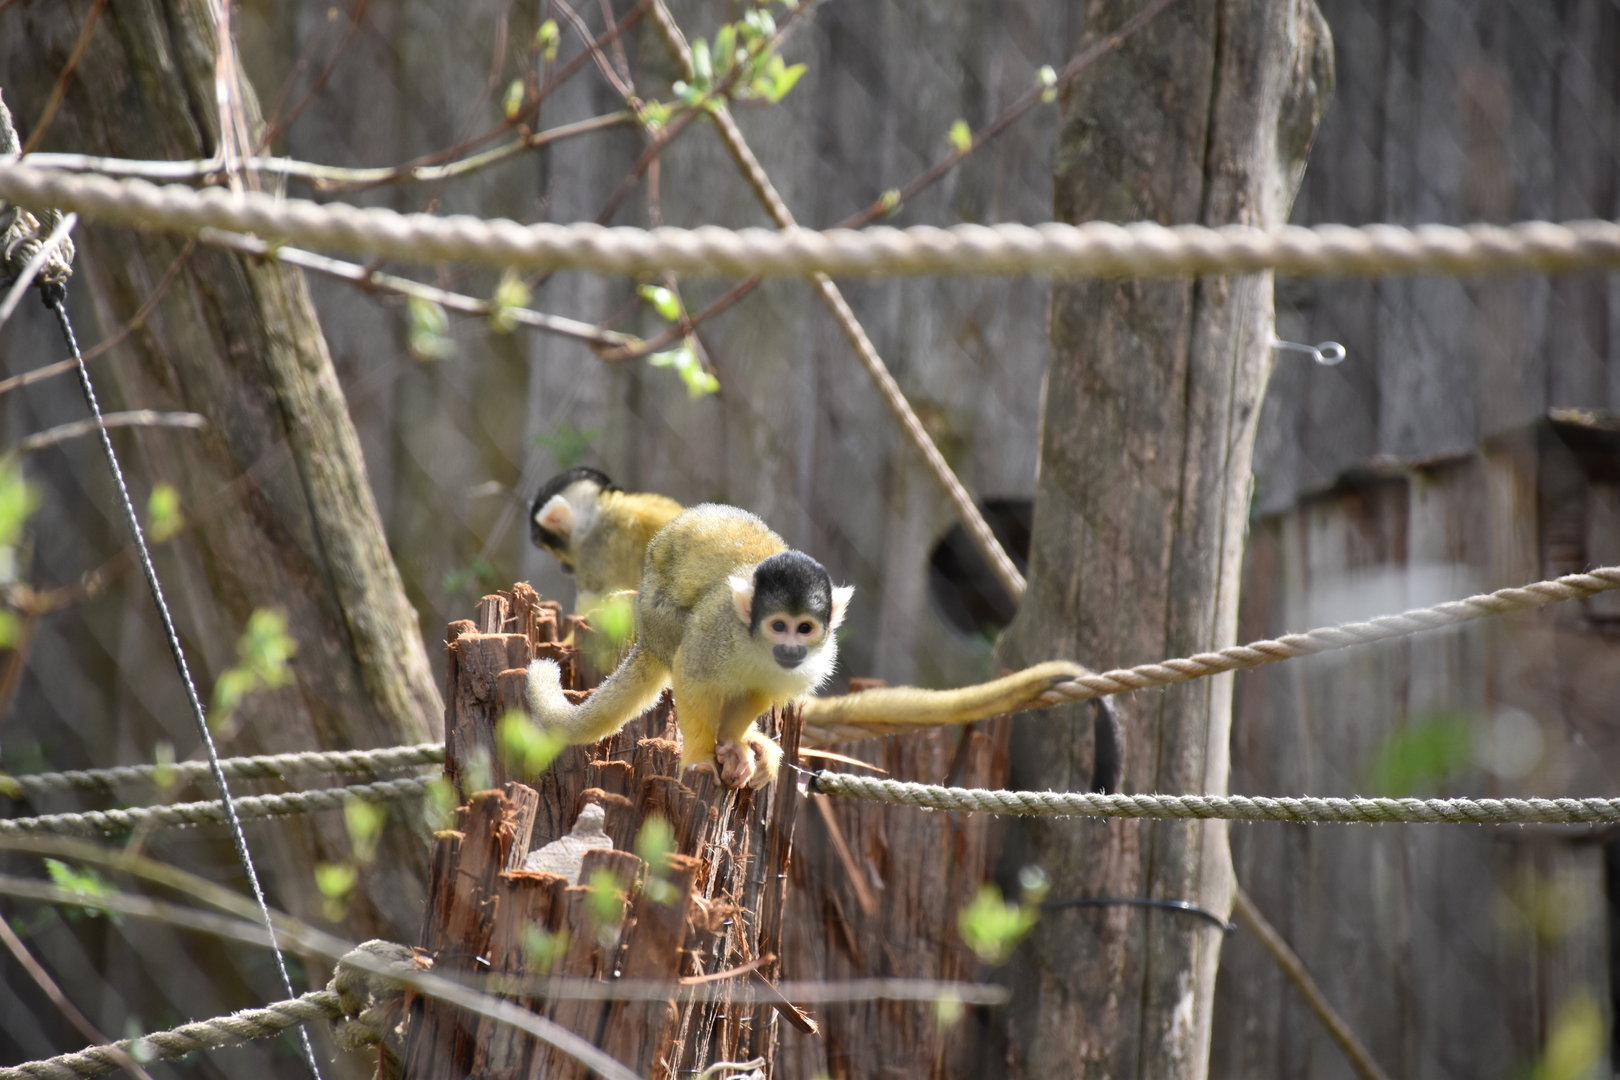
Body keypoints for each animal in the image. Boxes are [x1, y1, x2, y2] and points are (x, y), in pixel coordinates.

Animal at [526, 503, 853, 789]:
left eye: (805, 628)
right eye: (779, 626)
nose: (791, 648)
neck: (757, 646)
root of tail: (646, 634)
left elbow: (757, 692)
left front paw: (733, 739)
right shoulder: (718, 627)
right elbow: (691, 675)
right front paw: (703, 756)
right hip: (658, 617)